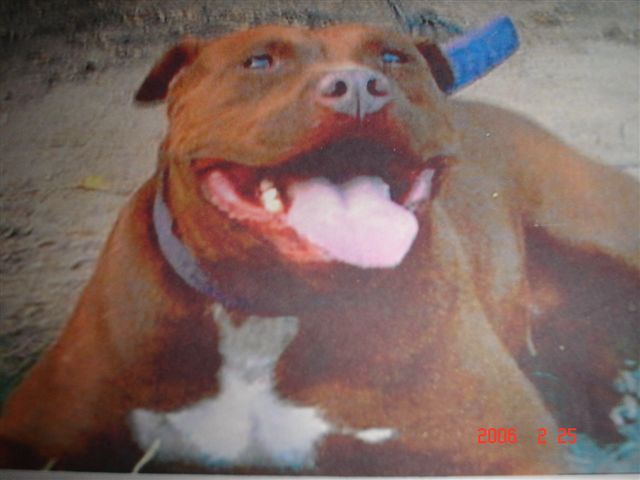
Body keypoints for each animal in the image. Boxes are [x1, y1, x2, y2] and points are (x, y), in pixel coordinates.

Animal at [1, 23, 638, 475]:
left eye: (393, 58)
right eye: (259, 61)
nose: (358, 86)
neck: (268, 308)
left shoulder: (510, 448)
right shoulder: (38, 430)